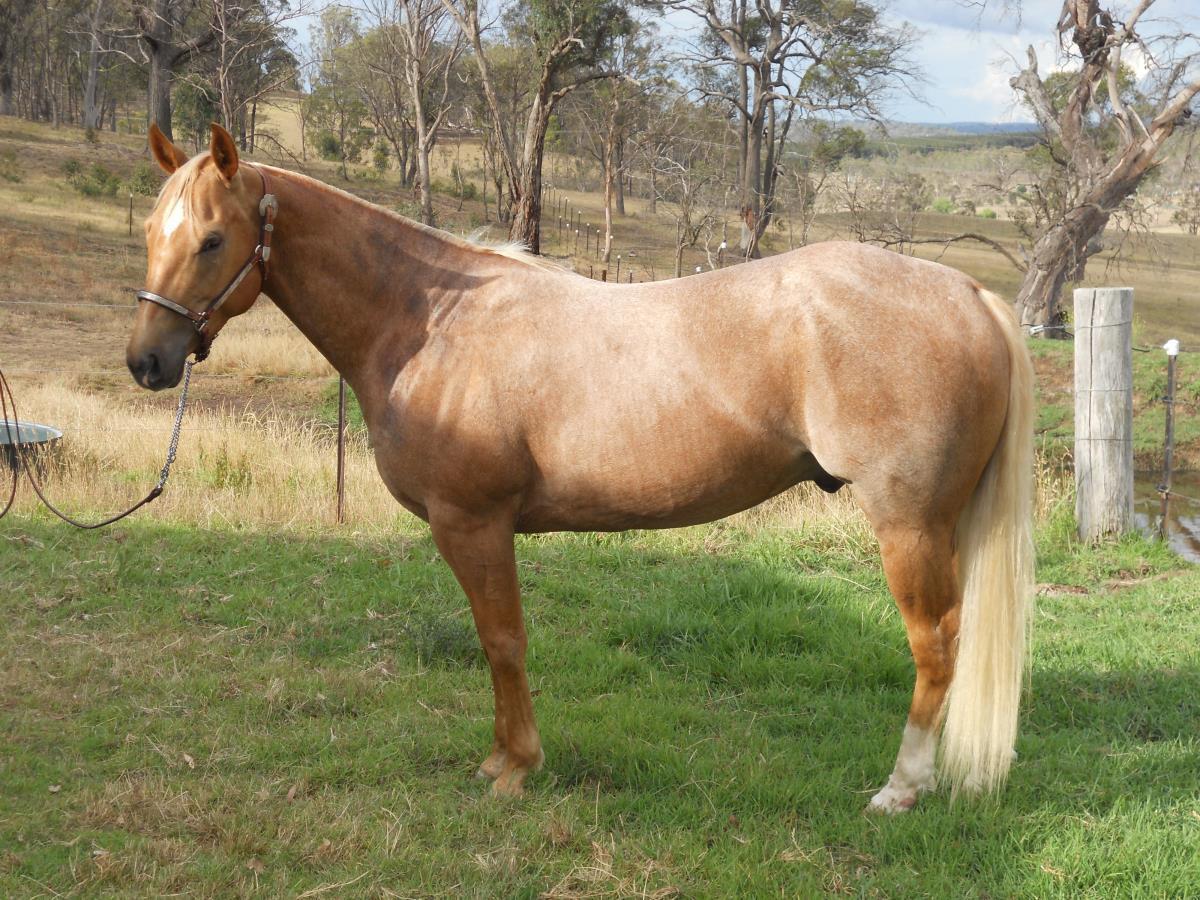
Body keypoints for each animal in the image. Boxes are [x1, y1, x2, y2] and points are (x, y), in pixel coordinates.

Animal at [126, 124, 1033, 814]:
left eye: (212, 240)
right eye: (148, 236)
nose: (147, 362)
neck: (431, 321)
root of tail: (970, 295)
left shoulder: (474, 523)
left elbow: (502, 642)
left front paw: (513, 768)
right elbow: (498, 643)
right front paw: (503, 759)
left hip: (909, 526)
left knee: (936, 646)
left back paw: (899, 790)